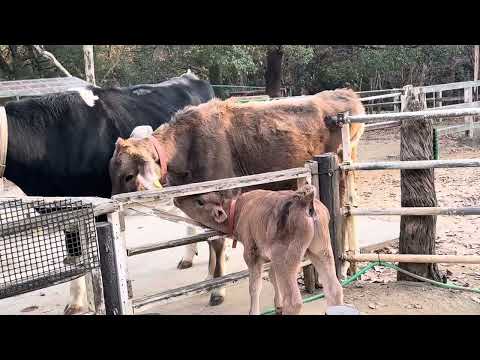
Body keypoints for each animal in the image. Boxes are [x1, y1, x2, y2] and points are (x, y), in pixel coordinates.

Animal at [174, 186, 344, 316]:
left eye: (200, 201)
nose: (176, 199)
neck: (238, 211)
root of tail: (306, 200)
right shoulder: (271, 257)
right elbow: (272, 277)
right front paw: (277, 305)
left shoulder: (252, 253)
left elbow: (254, 287)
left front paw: (254, 311)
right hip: (322, 250)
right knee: (334, 289)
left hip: (287, 257)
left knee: (294, 302)